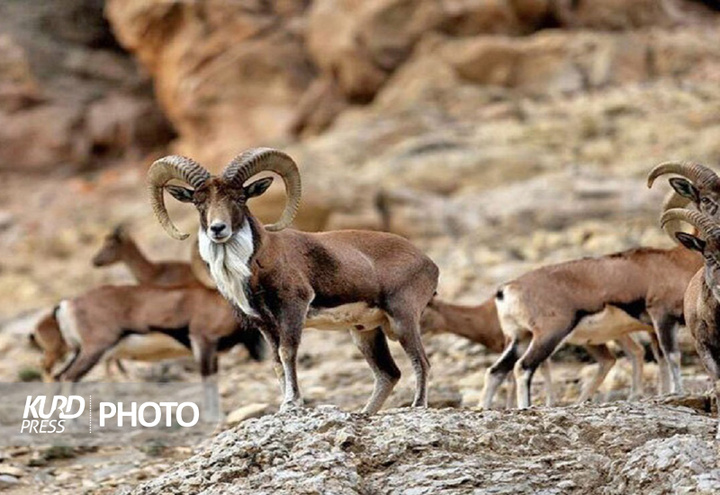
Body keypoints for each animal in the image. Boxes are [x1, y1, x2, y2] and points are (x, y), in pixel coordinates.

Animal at [146, 148, 438, 414]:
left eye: (239, 198)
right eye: (198, 202)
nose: (218, 228)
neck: (253, 265)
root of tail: (429, 265)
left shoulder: (292, 309)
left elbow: (288, 353)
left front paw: (291, 403)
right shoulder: (264, 324)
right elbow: (276, 362)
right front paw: (283, 407)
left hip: (402, 319)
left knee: (420, 361)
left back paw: (417, 406)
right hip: (365, 332)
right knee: (388, 374)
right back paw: (364, 413)